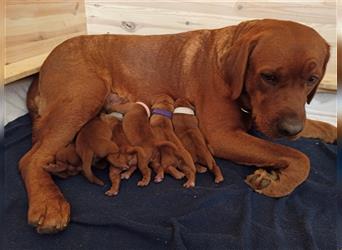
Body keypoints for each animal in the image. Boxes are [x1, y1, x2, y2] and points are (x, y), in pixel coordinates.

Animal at [21, 18, 336, 233]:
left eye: (311, 79)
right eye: (268, 76)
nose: (291, 130)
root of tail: (46, 61)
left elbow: (312, 129)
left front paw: (328, 132)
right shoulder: (223, 135)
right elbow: (302, 158)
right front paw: (277, 181)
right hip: (83, 97)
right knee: (30, 158)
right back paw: (49, 203)